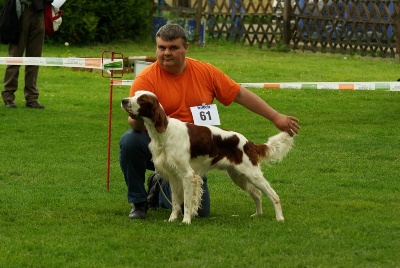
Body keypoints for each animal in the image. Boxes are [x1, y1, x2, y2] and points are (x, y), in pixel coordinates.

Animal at [122, 90, 294, 224]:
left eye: (142, 99)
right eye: (134, 94)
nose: (124, 101)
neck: (164, 133)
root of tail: (248, 143)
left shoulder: (188, 175)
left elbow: (187, 202)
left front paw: (186, 221)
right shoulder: (173, 176)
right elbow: (176, 202)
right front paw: (172, 219)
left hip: (252, 174)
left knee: (273, 195)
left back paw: (280, 218)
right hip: (238, 176)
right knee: (257, 195)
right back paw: (258, 215)